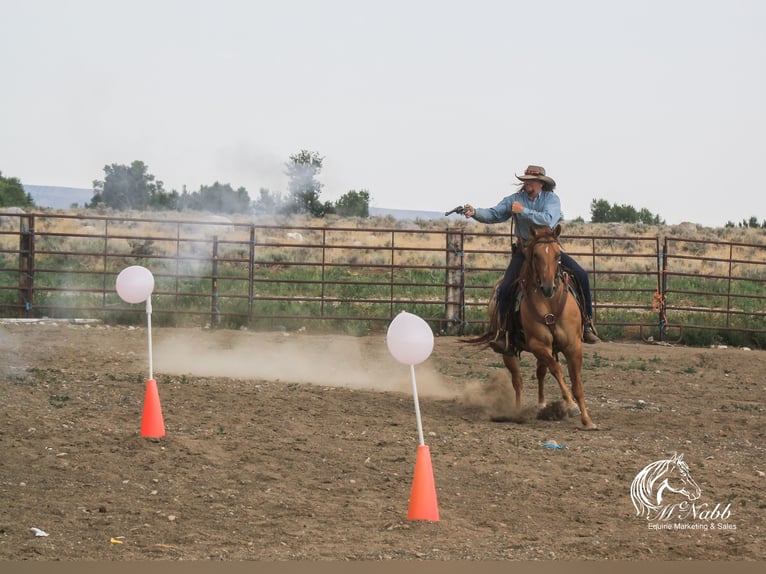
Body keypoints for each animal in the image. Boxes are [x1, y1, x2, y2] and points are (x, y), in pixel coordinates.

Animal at [476, 226, 596, 432]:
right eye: (536, 255)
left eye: (557, 255)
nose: (548, 287)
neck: (550, 303)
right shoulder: (538, 344)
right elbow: (556, 369)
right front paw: (571, 406)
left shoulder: (573, 346)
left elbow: (577, 383)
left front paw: (587, 420)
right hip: (509, 351)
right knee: (518, 381)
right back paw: (516, 411)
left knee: (540, 372)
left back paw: (541, 404)